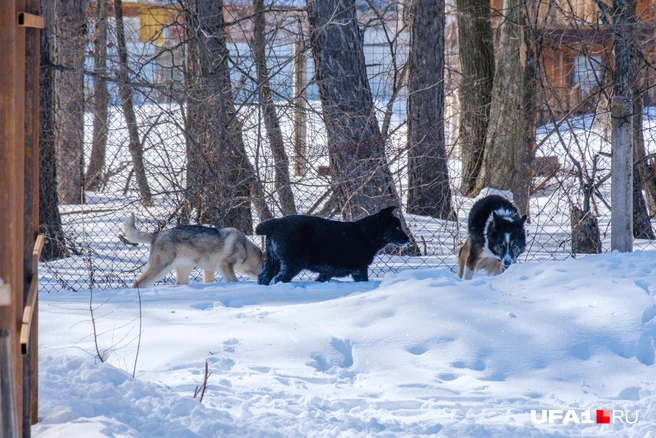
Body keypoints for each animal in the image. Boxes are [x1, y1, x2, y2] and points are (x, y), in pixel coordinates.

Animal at [124, 215, 262, 290]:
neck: (245, 248)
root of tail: (156, 234)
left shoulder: (209, 270)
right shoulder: (224, 265)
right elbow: (234, 281)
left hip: (185, 270)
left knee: (179, 283)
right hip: (161, 269)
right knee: (137, 283)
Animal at [256, 208, 410, 286]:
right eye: (396, 228)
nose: (408, 239)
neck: (366, 233)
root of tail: (276, 223)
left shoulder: (328, 271)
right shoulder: (360, 268)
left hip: (273, 261)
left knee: (263, 276)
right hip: (293, 263)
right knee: (279, 278)